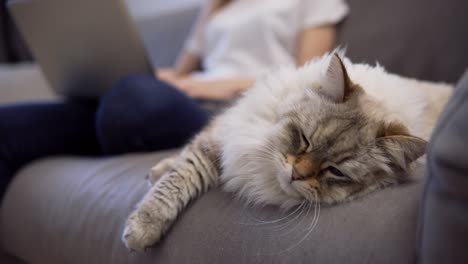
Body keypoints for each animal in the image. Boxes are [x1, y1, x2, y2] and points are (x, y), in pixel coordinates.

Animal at [122, 52, 452, 251]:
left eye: (335, 171)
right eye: (304, 139)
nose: (295, 174)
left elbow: (175, 182)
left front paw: (140, 231)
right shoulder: (221, 136)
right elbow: (177, 176)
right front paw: (146, 215)